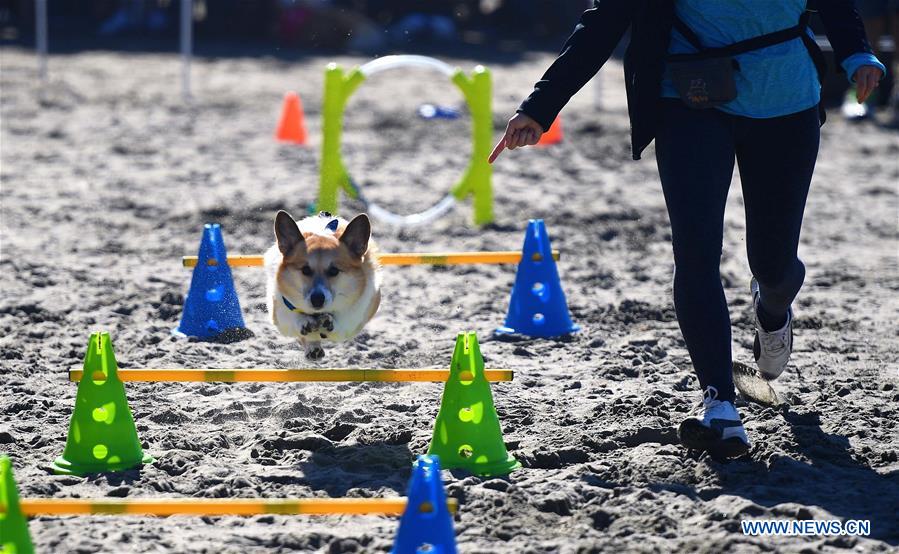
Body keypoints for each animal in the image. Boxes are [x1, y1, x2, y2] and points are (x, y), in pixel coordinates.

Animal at [266, 209, 382, 360]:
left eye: (334, 271)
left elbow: (343, 319)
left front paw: (329, 321)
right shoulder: (280, 314)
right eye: (305, 270)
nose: (317, 300)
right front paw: (305, 322)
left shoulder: (354, 320)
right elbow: (292, 317)